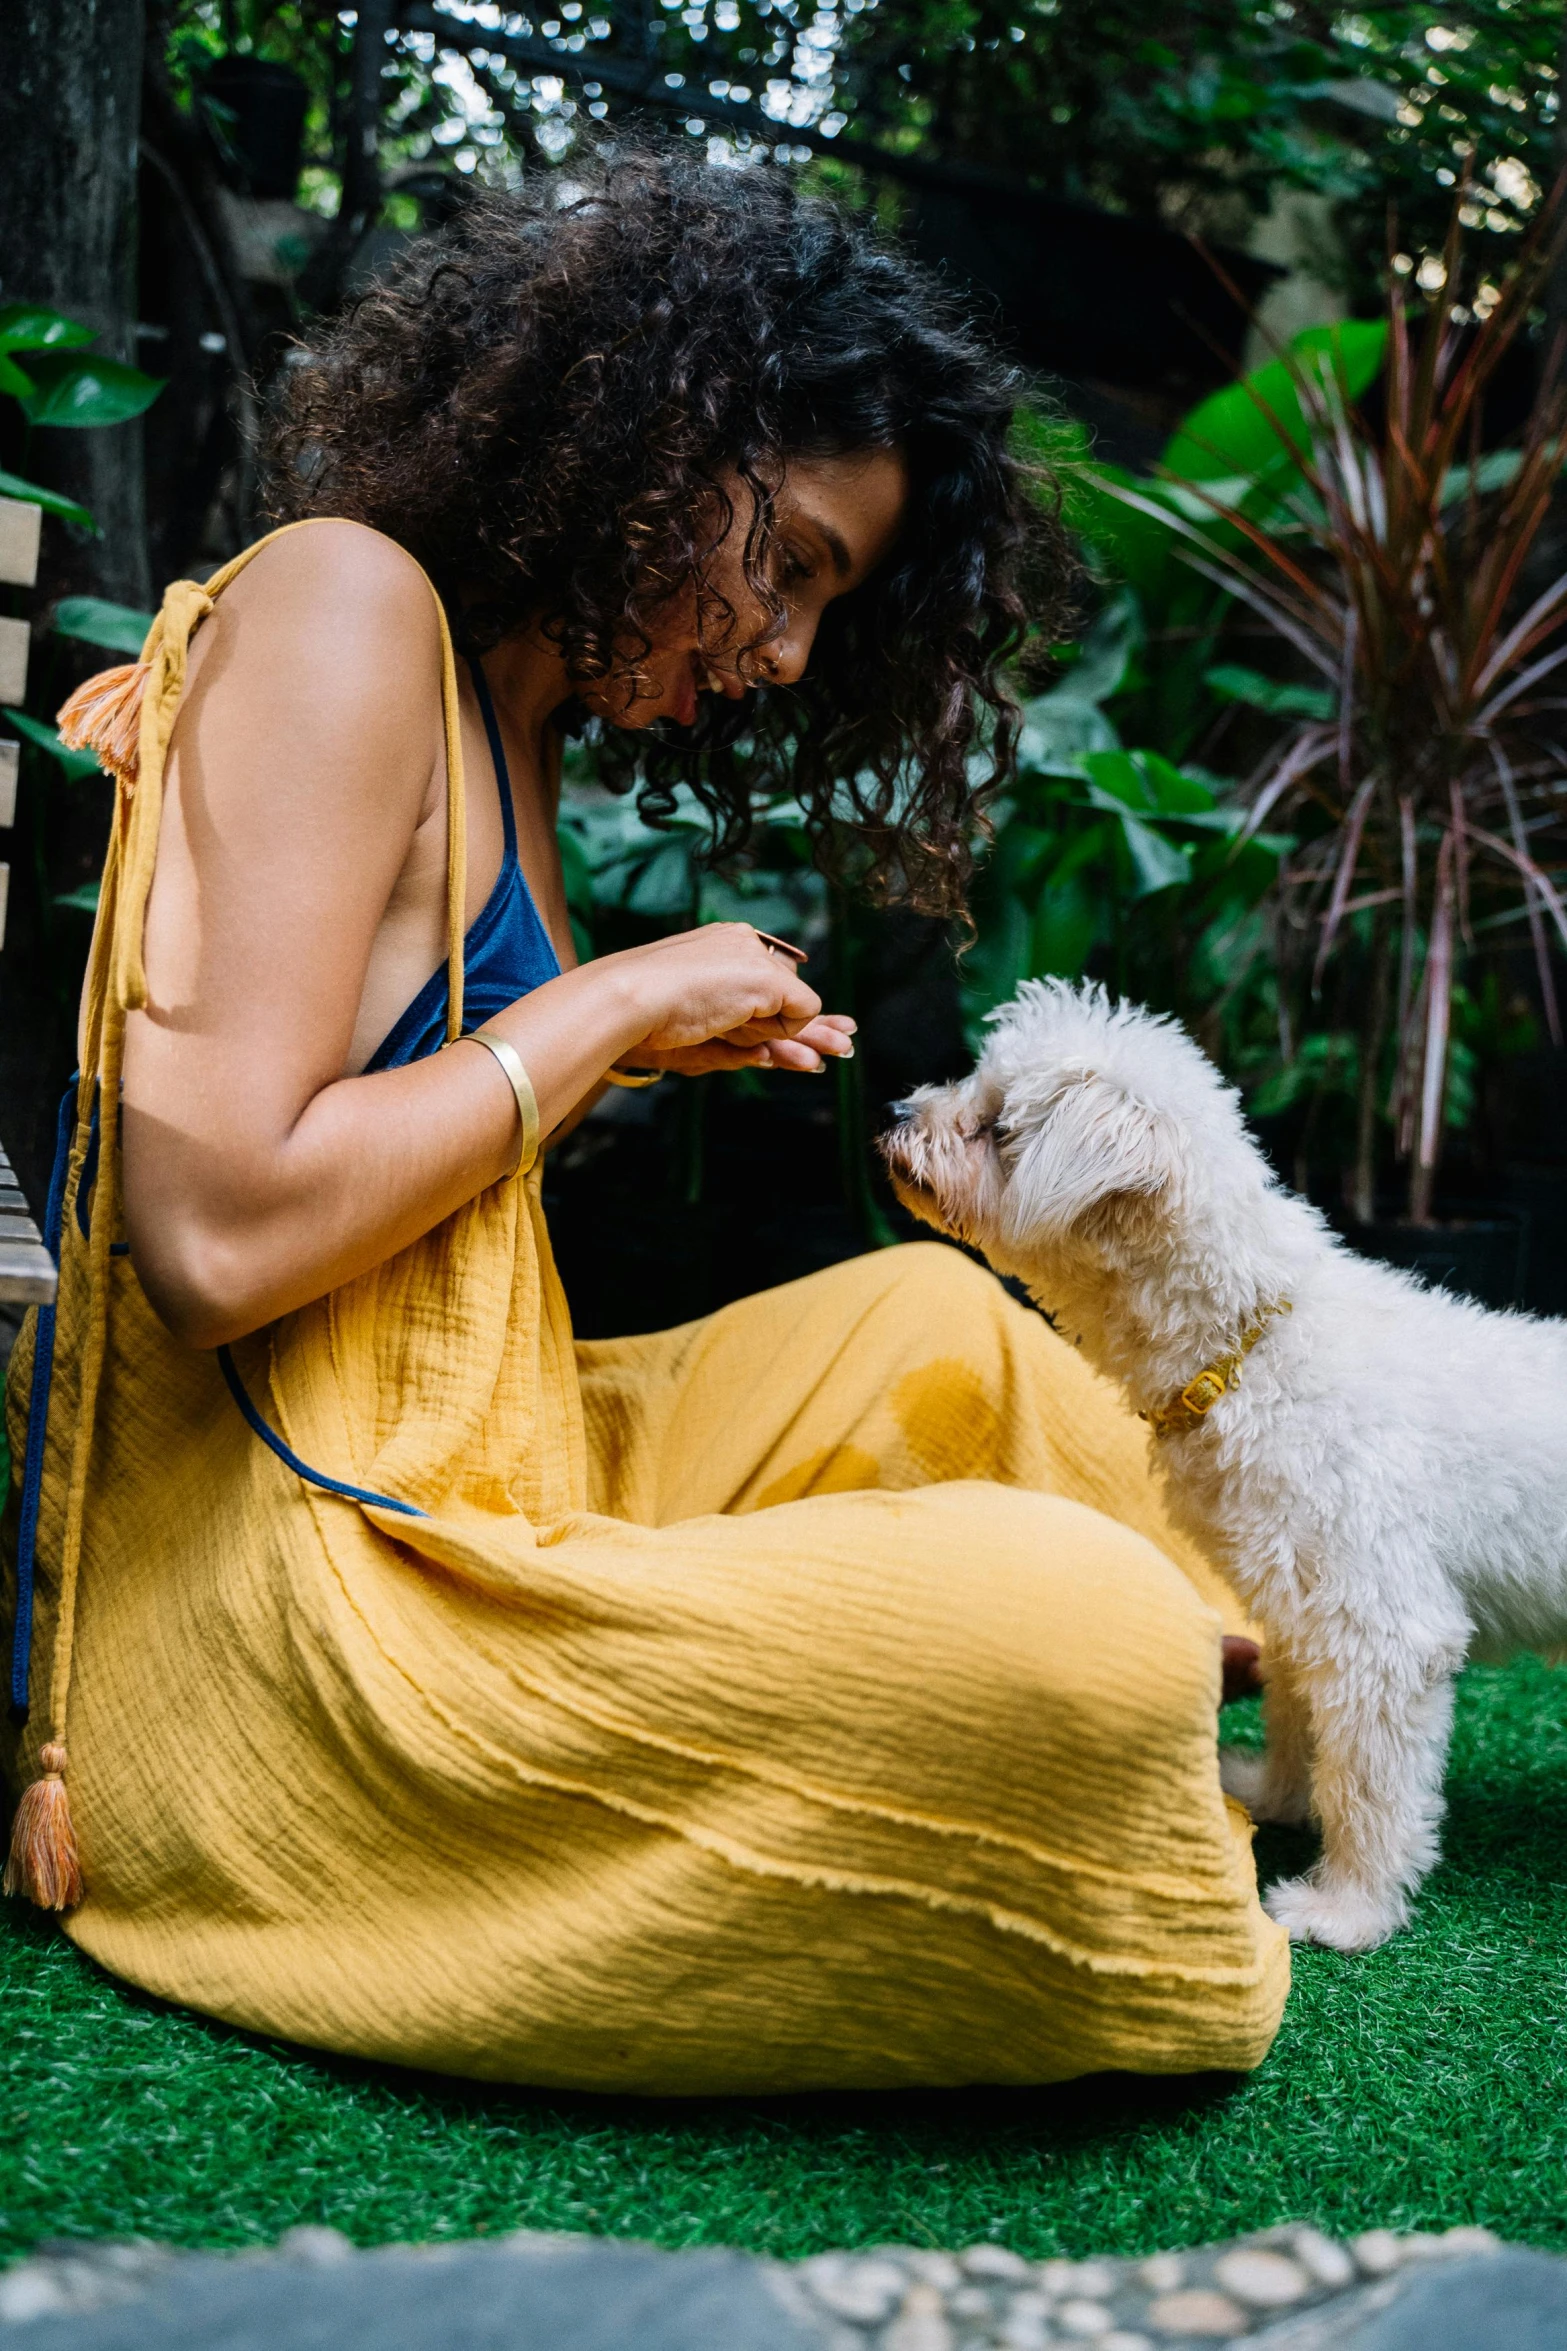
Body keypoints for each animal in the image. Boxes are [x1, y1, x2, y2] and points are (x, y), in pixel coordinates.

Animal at [883, 973, 1567, 1946]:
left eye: (996, 1125)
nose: (895, 1111)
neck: (1251, 1351)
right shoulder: (1299, 1600)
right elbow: (1294, 1714)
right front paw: (1270, 1797)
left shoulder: (1380, 1624)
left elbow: (1367, 1783)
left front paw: (1344, 1908)